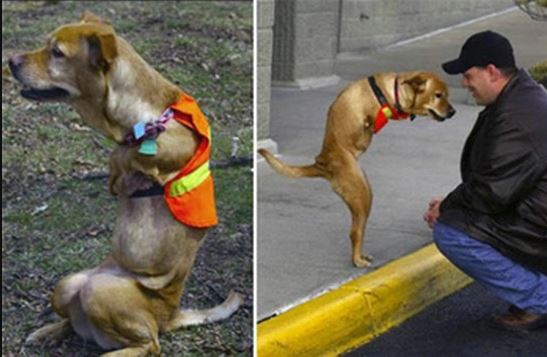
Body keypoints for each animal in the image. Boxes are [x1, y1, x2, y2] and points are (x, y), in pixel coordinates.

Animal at [8, 11, 244, 356]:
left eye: (57, 52)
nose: (9, 60)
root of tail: (170, 316)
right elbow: (121, 155)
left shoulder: (177, 142)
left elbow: (128, 152)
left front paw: (124, 164)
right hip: (68, 285)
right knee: (75, 321)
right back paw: (48, 332)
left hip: (101, 292)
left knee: (150, 344)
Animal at [260, 70, 456, 268]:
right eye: (438, 95)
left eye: (446, 95)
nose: (453, 112)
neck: (391, 92)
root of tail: (322, 164)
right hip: (362, 196)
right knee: (355, 232)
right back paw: (357, 260)